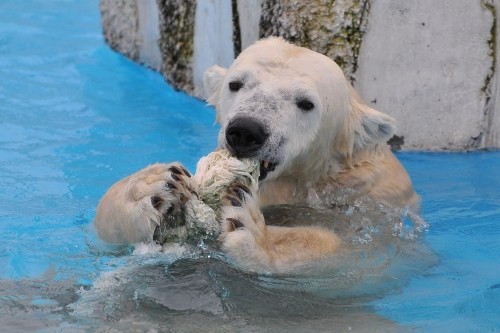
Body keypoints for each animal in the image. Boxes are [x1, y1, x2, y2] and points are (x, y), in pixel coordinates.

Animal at [94, 37, 418, 272]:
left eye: (306, 103)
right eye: (235, 83)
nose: (245, 131)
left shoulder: (372, 207)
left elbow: (356, 253)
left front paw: (255, 235)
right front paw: (151, 187)